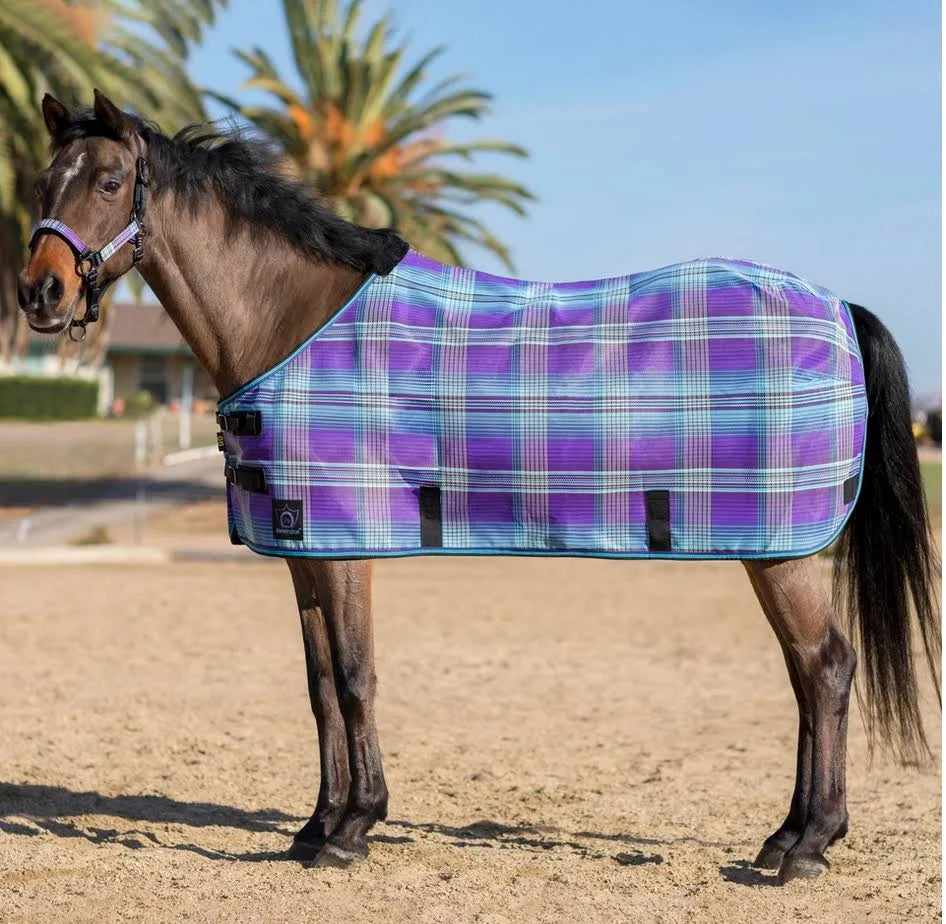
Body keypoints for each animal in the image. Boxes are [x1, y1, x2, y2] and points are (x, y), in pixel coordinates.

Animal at [17, 91, 939, 885]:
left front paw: (353, 828)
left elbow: (355, 676)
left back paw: (807, 848)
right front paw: (314, 826)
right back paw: (788, 836)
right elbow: (318, 691)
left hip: (780, 553)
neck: (293, 321)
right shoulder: (303, 549)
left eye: (109, 182)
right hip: (773, 554)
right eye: (42, 183)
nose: (39, 293)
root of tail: (840, 308)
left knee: (826, 667)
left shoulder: (348, 547)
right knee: (807, 675)